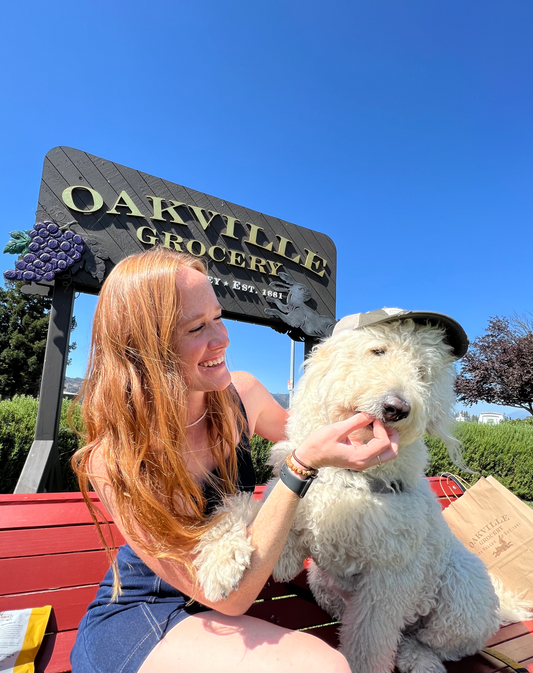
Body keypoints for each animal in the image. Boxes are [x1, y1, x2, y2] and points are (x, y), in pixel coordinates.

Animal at [196, 310, 502, 672]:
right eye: (377, 351)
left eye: (422, 372)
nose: (397, 407)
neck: (350, 478)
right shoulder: (296, 514)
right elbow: (247, 509)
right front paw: (220, 560)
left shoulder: (387, 581)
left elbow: (369, 643)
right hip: (324, 585)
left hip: (465, 596)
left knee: (435, 642)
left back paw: (420, 657)